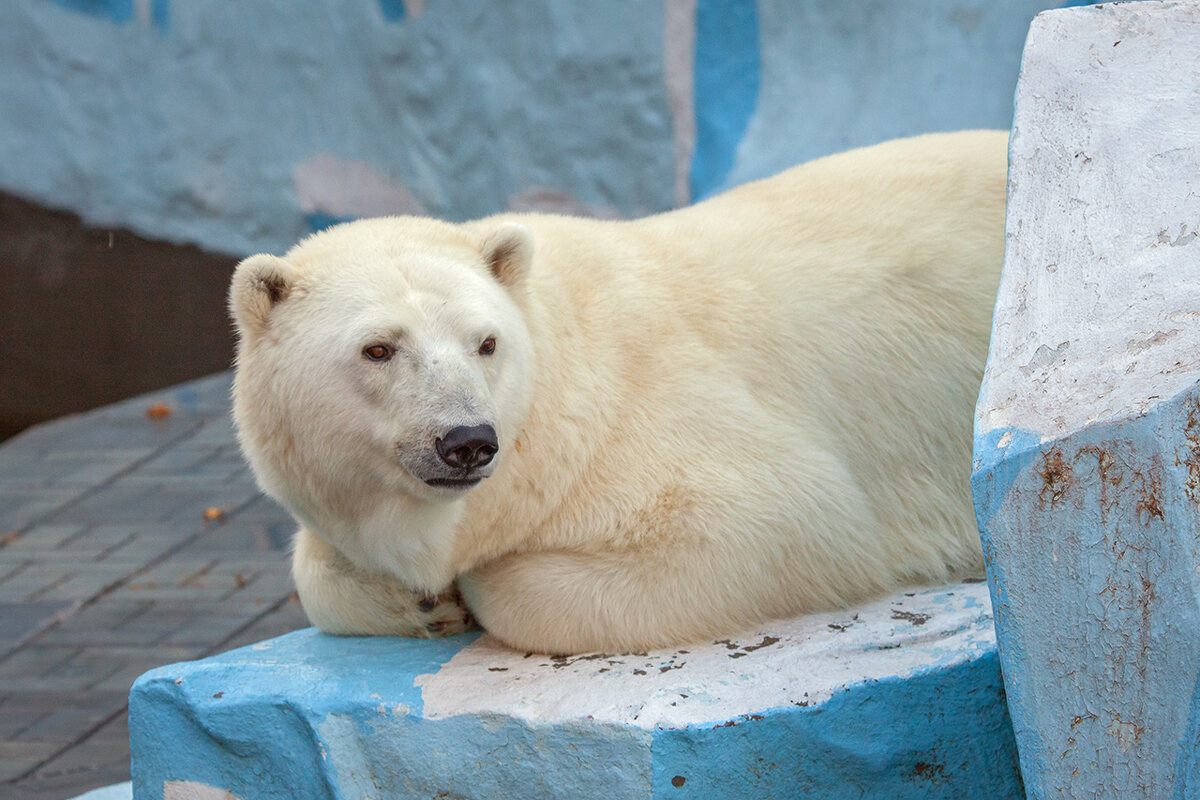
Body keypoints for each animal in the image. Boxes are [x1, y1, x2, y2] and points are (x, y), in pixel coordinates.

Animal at [229, 131, 1008, 657]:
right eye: (379, 349)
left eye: (486, 342)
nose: (467, 442)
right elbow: (320, 565)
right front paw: (424, 601)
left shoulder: (649, 419)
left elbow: (785, 516)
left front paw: (469, 589)